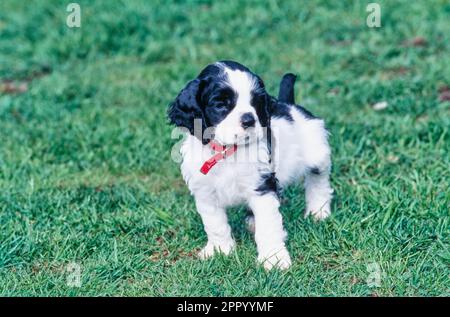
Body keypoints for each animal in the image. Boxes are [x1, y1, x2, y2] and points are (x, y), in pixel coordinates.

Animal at [167, 59, 332, 270]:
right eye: (220, 104)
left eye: (256, 102)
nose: (249, 120)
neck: (226, 152)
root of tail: (289, 105)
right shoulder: (205, 193)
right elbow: (215, 224)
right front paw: (219, 250)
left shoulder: (261, 187)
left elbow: (268, 226)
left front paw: (274, 259)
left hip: (317, 153)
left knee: (319, 181)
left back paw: (318, 211)